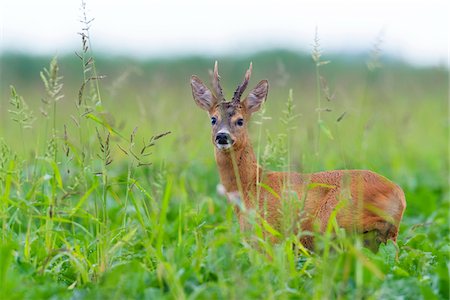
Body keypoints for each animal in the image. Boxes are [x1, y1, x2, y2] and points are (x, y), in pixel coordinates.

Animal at [190, 62, 408, 250]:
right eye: (213, 119)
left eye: (240, 120)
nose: (222, 136)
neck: (251, 185)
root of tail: (400, 194)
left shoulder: (268, 237)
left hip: (333, 220)